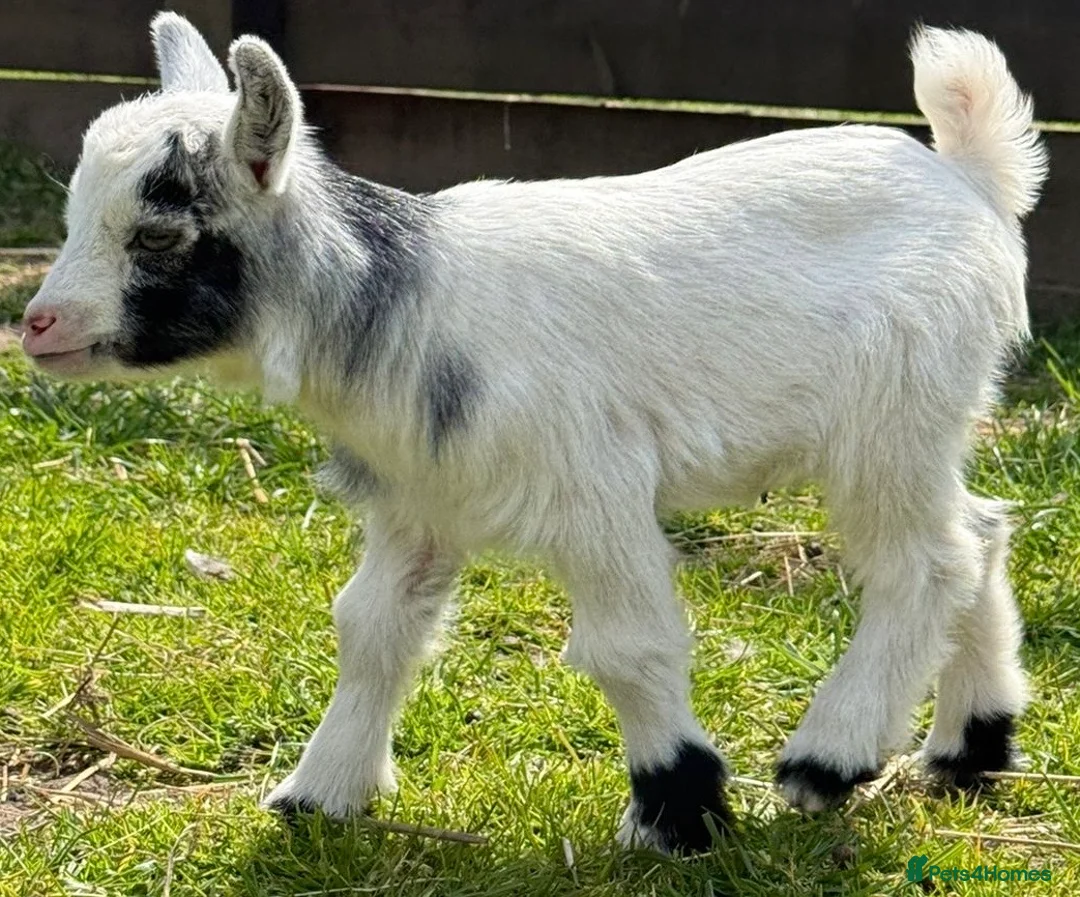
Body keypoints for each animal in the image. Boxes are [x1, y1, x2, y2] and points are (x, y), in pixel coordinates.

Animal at [22, 14, 1046, 853]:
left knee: (926, 563)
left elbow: (629, 646)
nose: (37, 324)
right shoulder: (418, 500)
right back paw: (972, 745)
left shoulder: (593, 485)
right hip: (929, 418)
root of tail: (970, 174)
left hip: (889, 413)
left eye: (158, 234)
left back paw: (827, 758)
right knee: (980, 533)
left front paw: (679, 812)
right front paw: (319, 794)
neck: (403, 307)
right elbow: (371, 628)